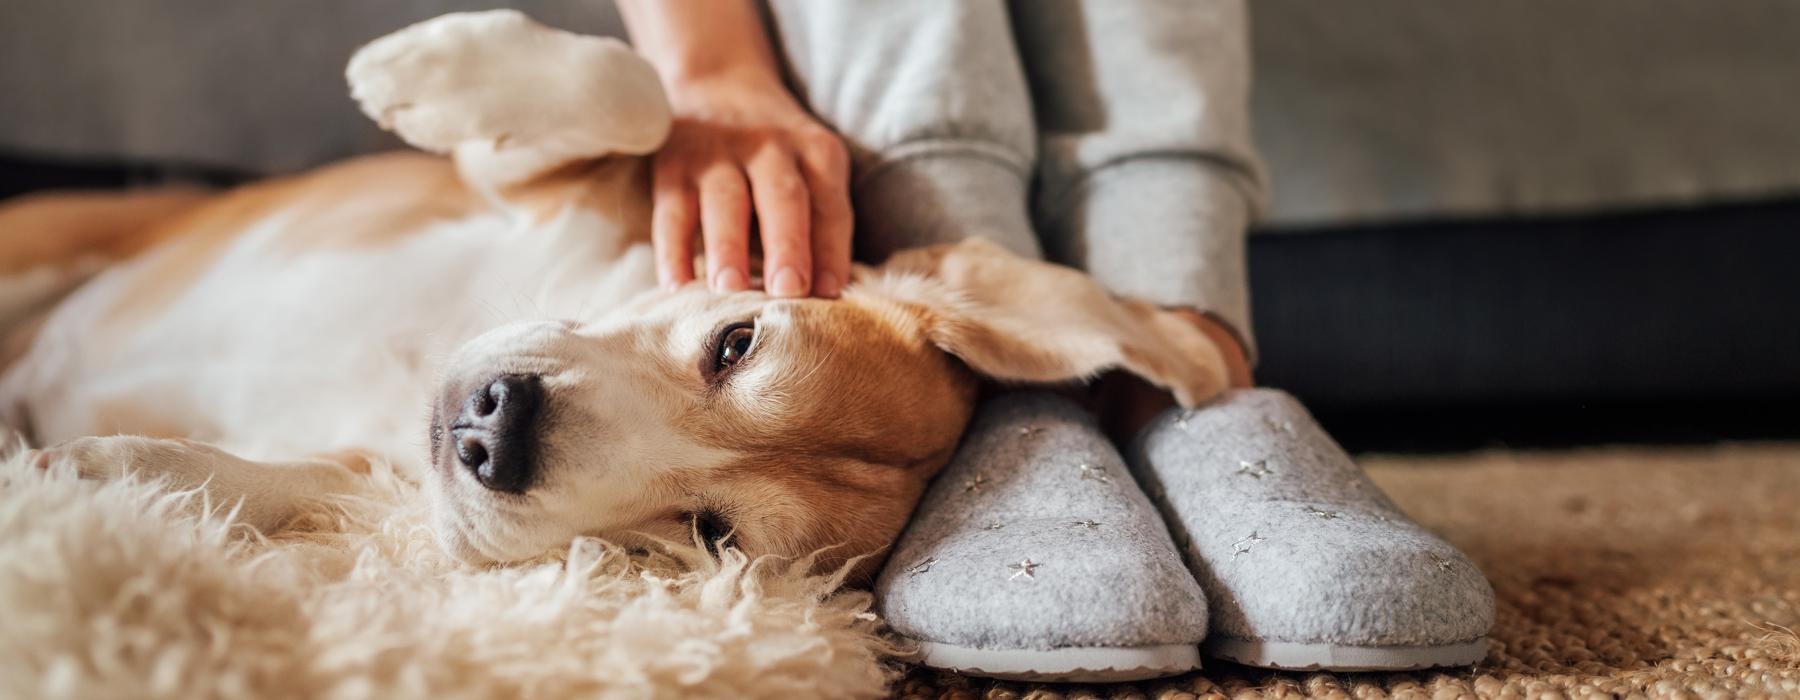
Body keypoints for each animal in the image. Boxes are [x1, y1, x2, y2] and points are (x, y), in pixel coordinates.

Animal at [0, 12, 1224, 579]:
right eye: (735, 341)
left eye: (712, 531)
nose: (496, 428)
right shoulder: (533, 186)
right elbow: (633, 93)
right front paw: (421, 73)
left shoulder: (376, 475)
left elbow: (287, 481)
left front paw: (104, 475)